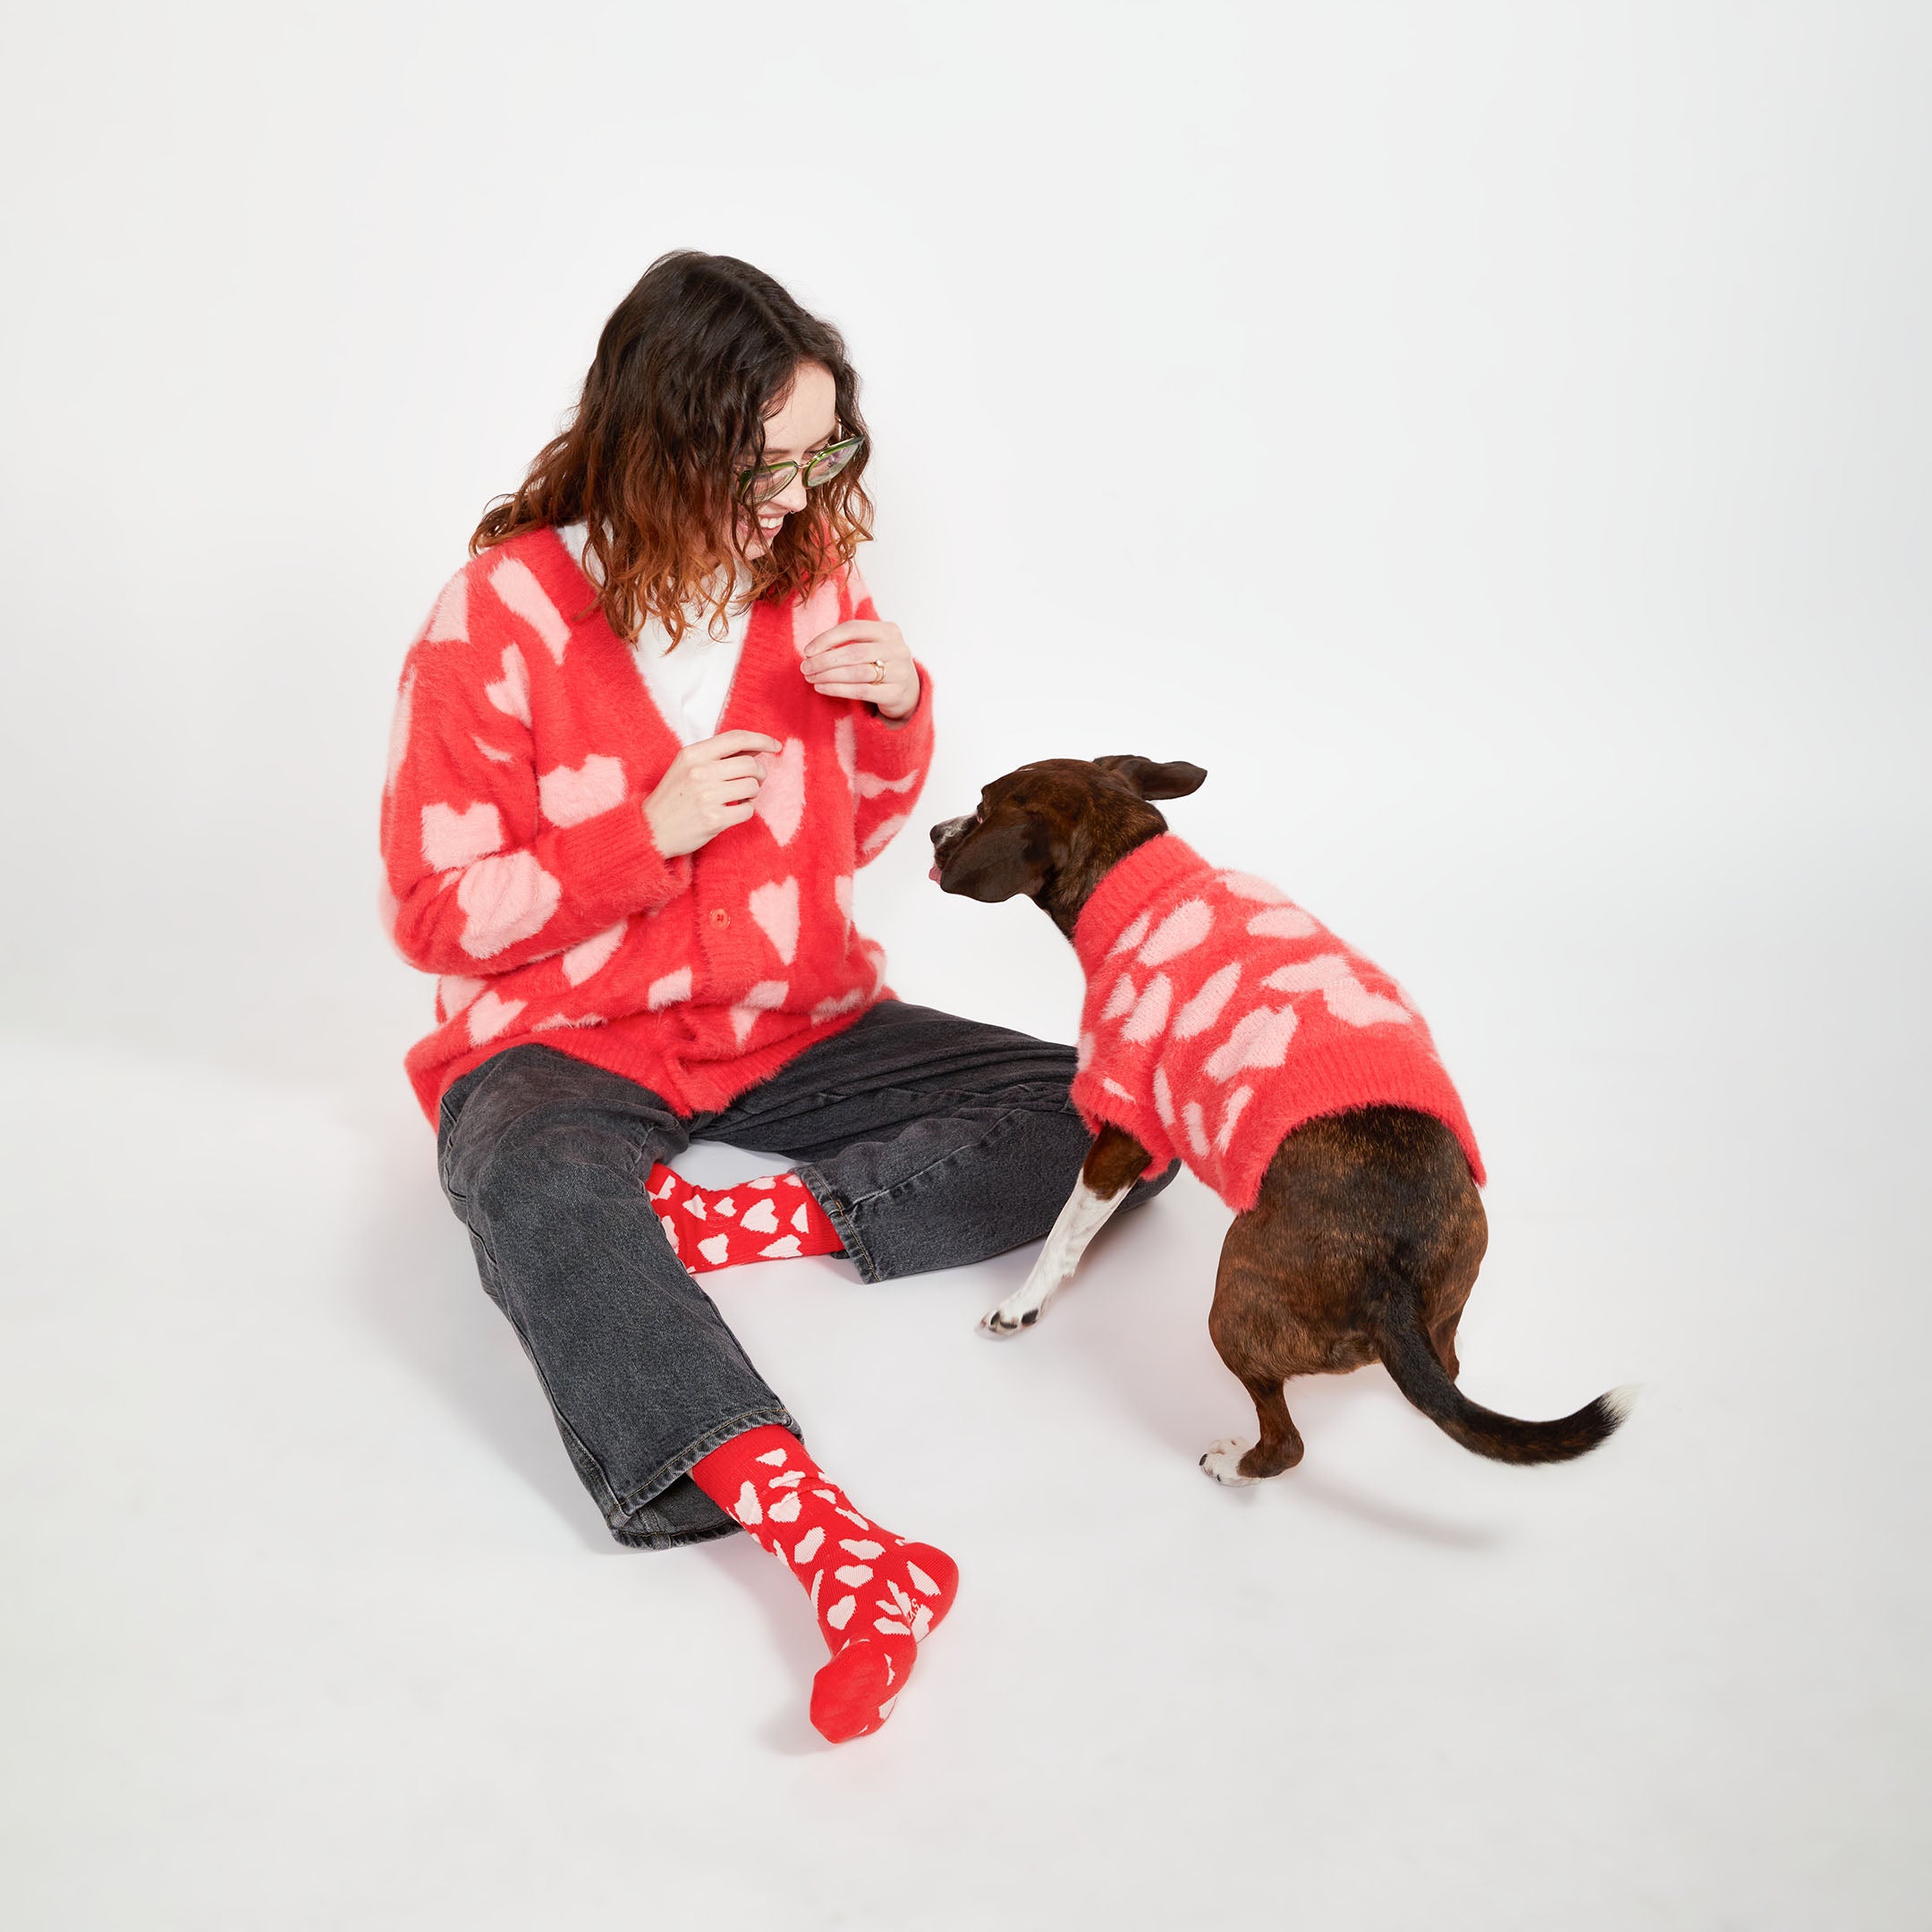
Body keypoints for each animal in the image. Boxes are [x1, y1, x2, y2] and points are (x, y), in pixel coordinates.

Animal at [927, 753, 1623, 1476]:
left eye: (982, 808)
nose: (931, 832)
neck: (1137, 871)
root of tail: (1394, 1286)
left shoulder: (1124, 1126)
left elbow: (1065, 1232)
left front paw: (1022, 1304)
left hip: (1234, 1300)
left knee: (1287, 1441)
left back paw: (1236, 1464)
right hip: (1453, 1285)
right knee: (1448, 1376)